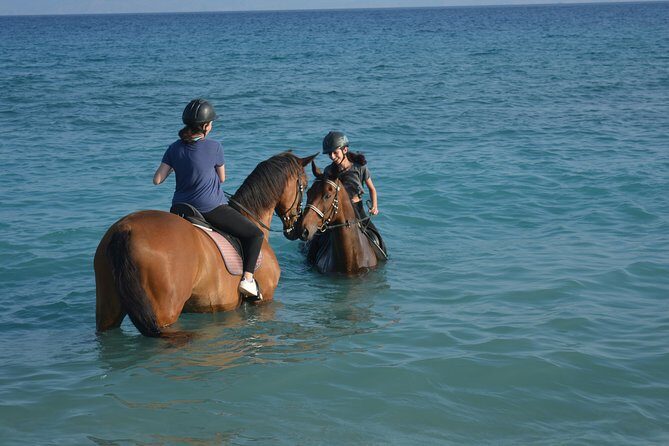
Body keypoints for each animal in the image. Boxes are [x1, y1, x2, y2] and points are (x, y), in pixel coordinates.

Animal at [94, 151, 317, 338]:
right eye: (305, 185)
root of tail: (125, 229)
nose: (298, 229)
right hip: (164, 313)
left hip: (108, 310)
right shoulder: (265, 300)